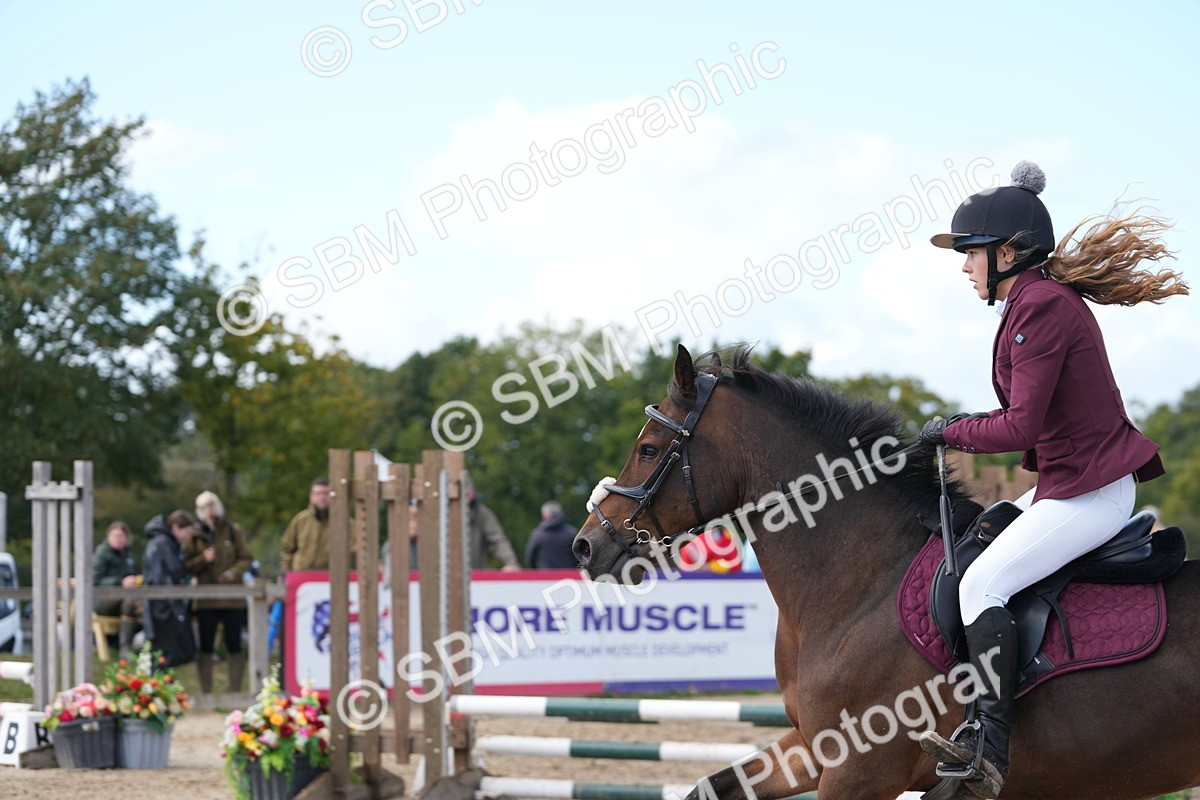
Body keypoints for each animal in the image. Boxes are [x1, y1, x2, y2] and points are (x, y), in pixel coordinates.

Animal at [572, 344, 1200, 800]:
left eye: (649, 449)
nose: (585, 546)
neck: (859, 584)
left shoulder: (860, 771)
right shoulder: (814, 749)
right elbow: (711, 786)